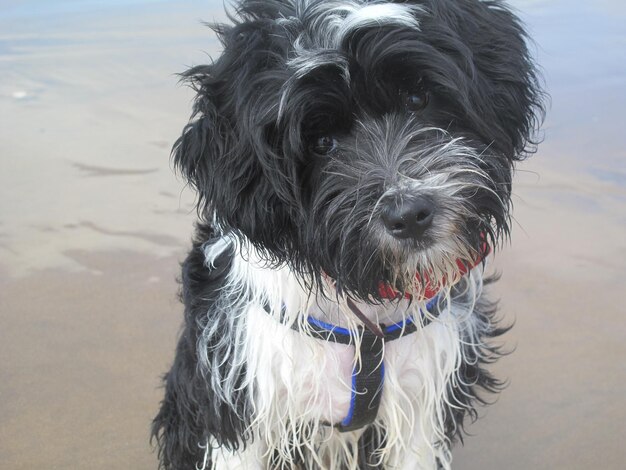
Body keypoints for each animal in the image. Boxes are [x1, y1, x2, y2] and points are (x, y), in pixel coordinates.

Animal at [151, 0, 540, 470]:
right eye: (321, 143)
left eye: (417, 99)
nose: (410, 214)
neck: (365, 318)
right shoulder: (237, 403)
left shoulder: (424, 401)